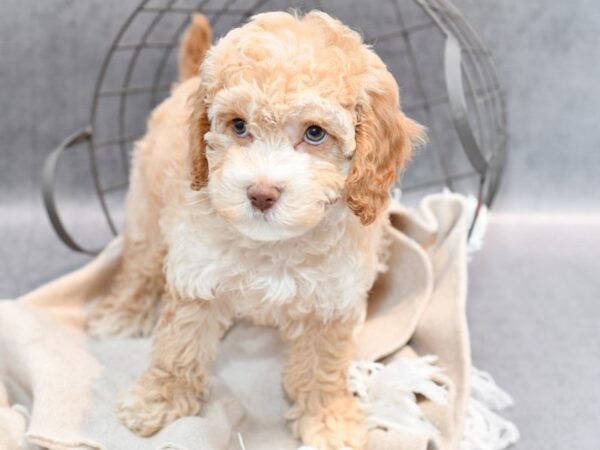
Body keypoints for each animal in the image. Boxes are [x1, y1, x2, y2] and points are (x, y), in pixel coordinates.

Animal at [90, 10, 426, 450]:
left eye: (315, 133)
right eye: (238, 126)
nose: (261, 193)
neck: (276, 245)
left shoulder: (333, 299)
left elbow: (323, 367)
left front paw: (328, 421)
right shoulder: (198, 273)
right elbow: (179, 347)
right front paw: (157, 401)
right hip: (147, 208)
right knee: (140, 266)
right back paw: (122, 314)